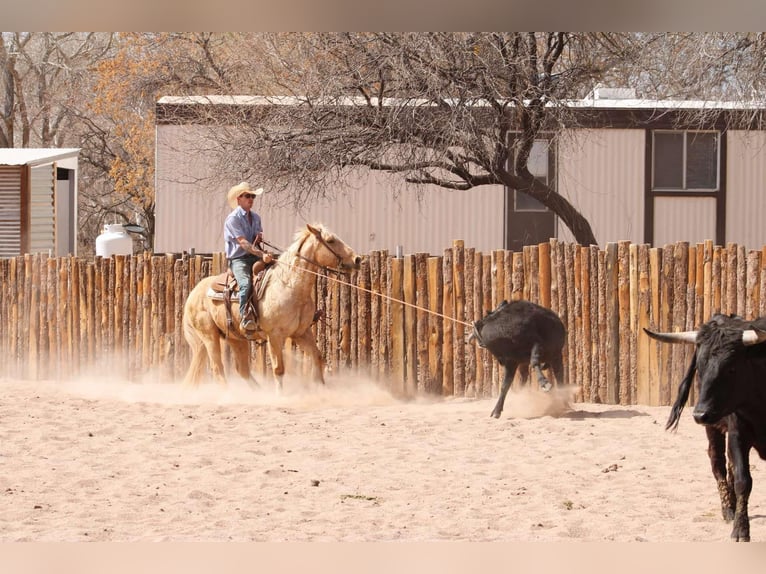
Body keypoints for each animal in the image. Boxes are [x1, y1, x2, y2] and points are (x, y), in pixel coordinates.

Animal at [181, 223, 361, 390]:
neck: (289, 285)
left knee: (242, 369)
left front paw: (321, 388)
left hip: (235, 337)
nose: (357, 259)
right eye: (330, 240)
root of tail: (192, 295)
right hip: (209, 336)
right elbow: (278, 369)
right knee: (218, 368)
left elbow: (317, 357)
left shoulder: (301, 333)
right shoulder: (274, 335)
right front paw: (280, 395)